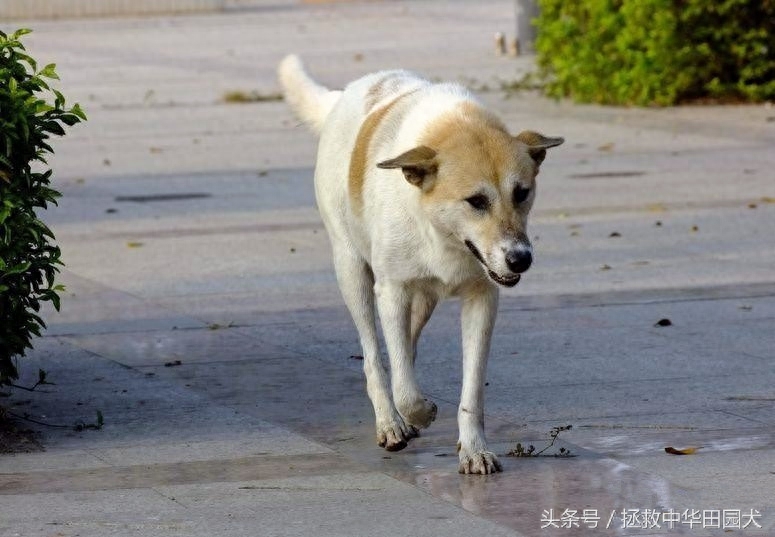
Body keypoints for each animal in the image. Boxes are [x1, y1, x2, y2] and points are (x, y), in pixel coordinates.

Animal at [278, 55, 564, 474]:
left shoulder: (482, 299)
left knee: (406, 349)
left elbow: (471, 388)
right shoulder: (393, 292)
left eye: (522, 193)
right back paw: (390, 422)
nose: (520, 259)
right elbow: (402, 383)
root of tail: (345, 94)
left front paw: (474, 450)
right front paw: (419, 412)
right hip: (353, 272)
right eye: (476, 201)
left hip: (424, 298)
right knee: (376, 357)